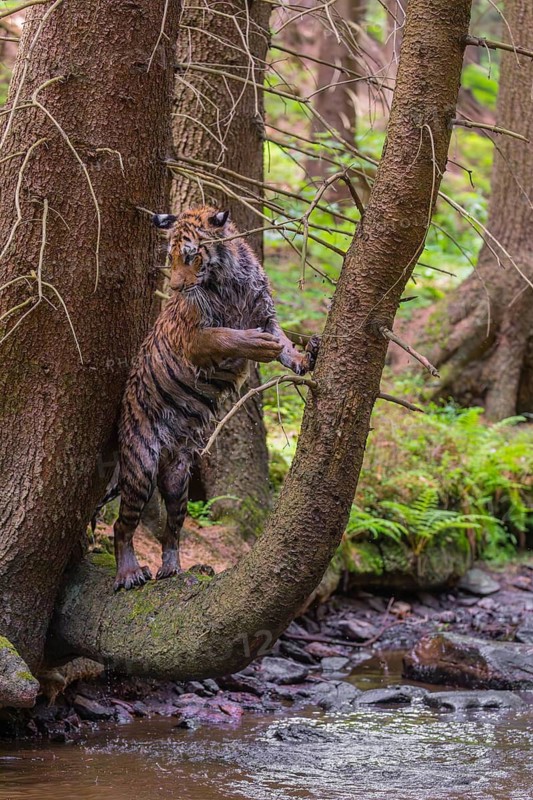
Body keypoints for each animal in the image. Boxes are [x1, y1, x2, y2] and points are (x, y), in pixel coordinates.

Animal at [110, 205, 318, 591]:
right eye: (171, 258)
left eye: (191, 256)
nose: (176, 287)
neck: (229, 280)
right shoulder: (193, 336)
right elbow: (225, 335)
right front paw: (255, 344)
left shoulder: (267, 315)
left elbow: (284, 344)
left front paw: (304, 357)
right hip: (141, 468)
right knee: (122, 525)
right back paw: (129, 573)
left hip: (178, 481)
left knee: (172, 530)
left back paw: (171, 569)